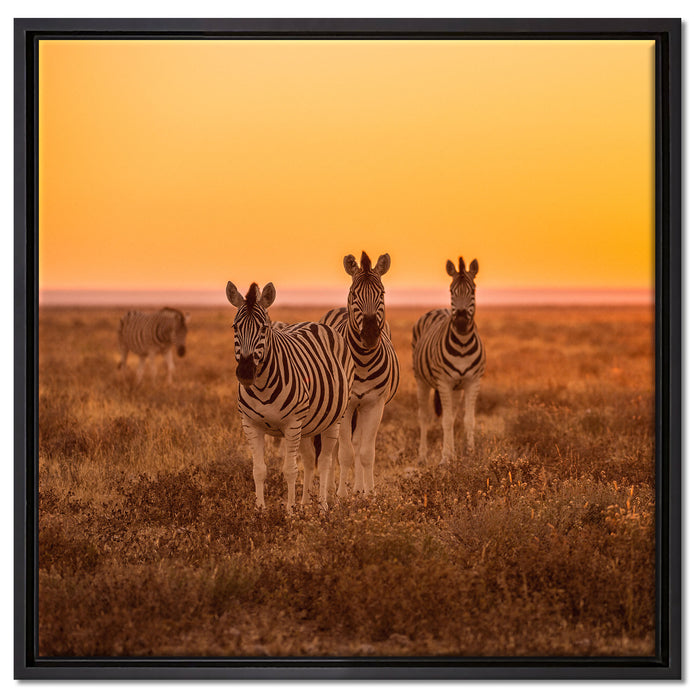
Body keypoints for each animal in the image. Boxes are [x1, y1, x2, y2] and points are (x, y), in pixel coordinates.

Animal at [226, 281, 353, 510]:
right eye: (235, 327)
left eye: (264, 328)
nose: (246, 372)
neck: (262, 386)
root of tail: (316, 323)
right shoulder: (250, 424)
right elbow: (259, 470)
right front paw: (260, 511)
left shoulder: (292, 424)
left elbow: (290, 470)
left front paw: (290, 512)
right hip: (307, 424)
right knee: (310, 459)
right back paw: (305, 505)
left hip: (333, 419)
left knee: (324, 461)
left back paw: (322, 506)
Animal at [319, 251, 399, 496]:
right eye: (354, 294)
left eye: (382, 293)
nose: (371, 335)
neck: (363, 361)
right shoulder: (346, 406)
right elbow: (344, 453)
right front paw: (340, 496)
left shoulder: (375, 404)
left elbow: (365, 452)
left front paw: (369, 494)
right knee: (336, 446)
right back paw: (332, 488)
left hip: (362, 407)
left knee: (357, 442)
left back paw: (358, 488)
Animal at [412, 256, 486, 464]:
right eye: (451, 291)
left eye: (473, 290)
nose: (460, 322)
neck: (462, 344)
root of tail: (438, 309)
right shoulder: (444, 382)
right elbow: (444, 421)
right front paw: (445, 458)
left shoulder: (472, 381)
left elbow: (468, 420)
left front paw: (470, 453)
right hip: (421, 380)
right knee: (424, 416)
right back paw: (422, 455)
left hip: (456, 388)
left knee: (451, 416)